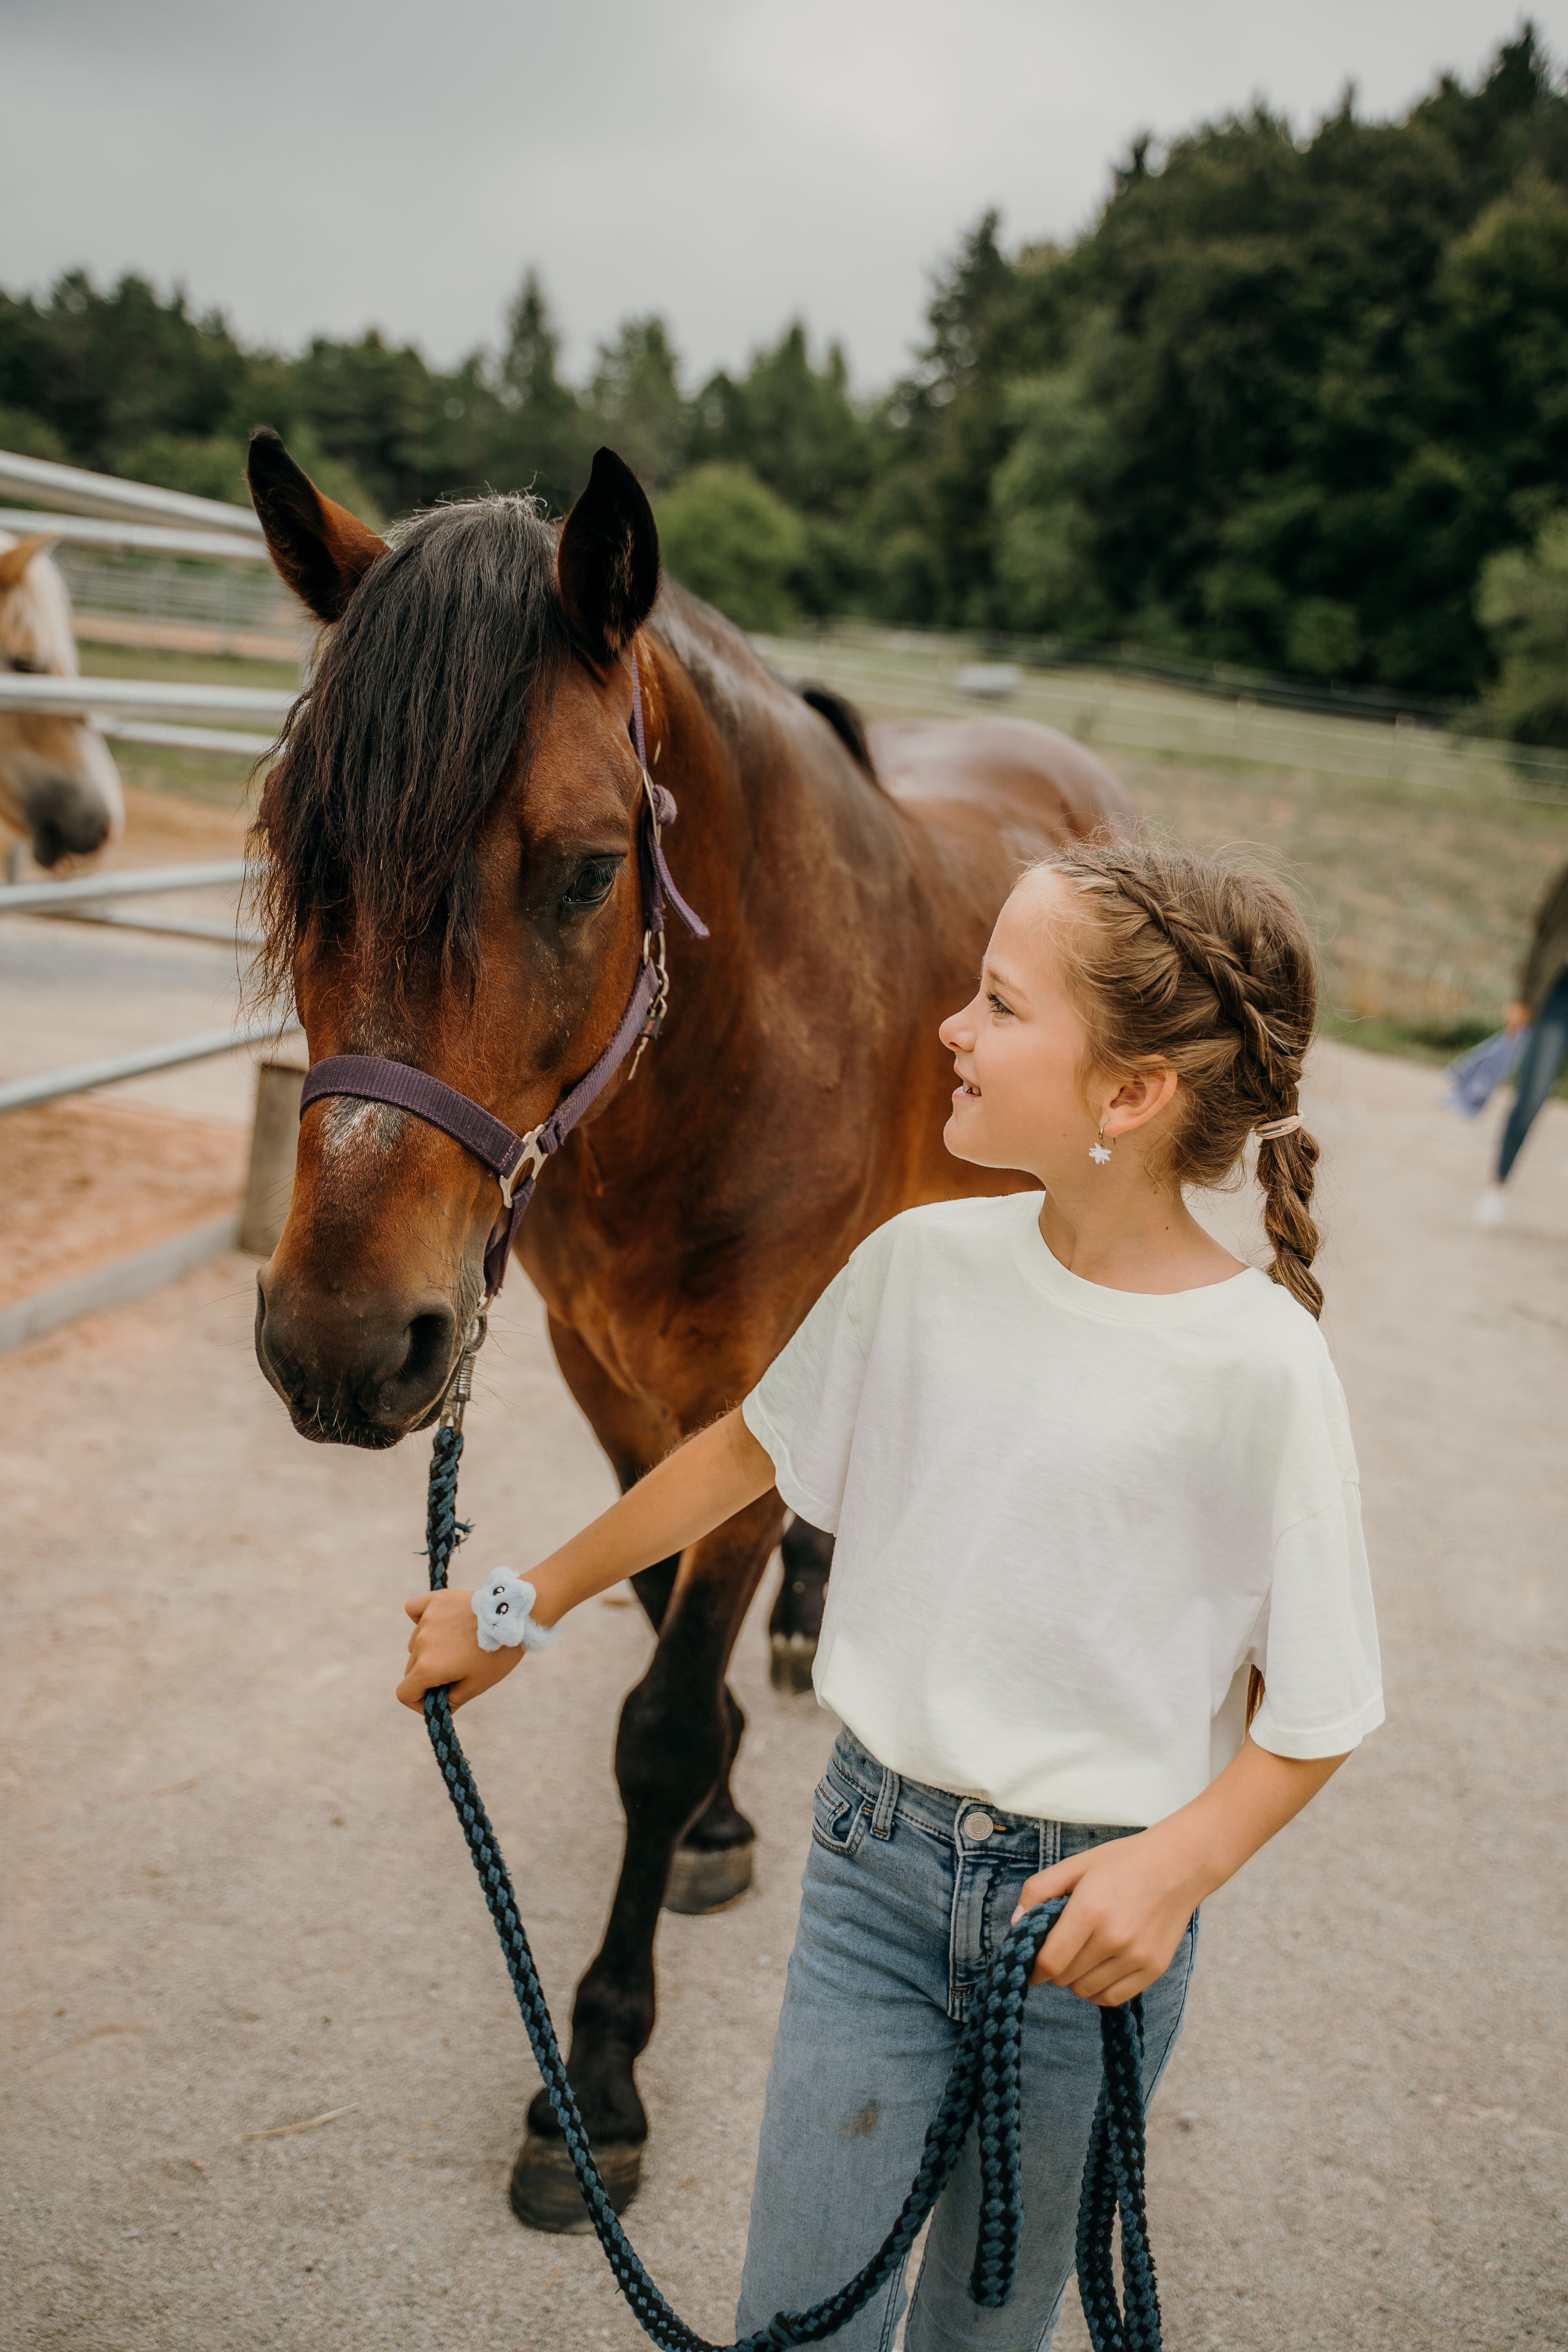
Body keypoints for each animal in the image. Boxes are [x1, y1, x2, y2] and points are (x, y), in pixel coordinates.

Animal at [244, 428, 1134, 2231]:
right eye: (304, 847)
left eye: (588, 872)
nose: (338, 1345)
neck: (724, 1065)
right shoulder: (609, 1378)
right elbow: (658, 1605)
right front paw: (726, 1801)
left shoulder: (752, 1385)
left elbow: (650, 1724)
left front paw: (594, 2071)